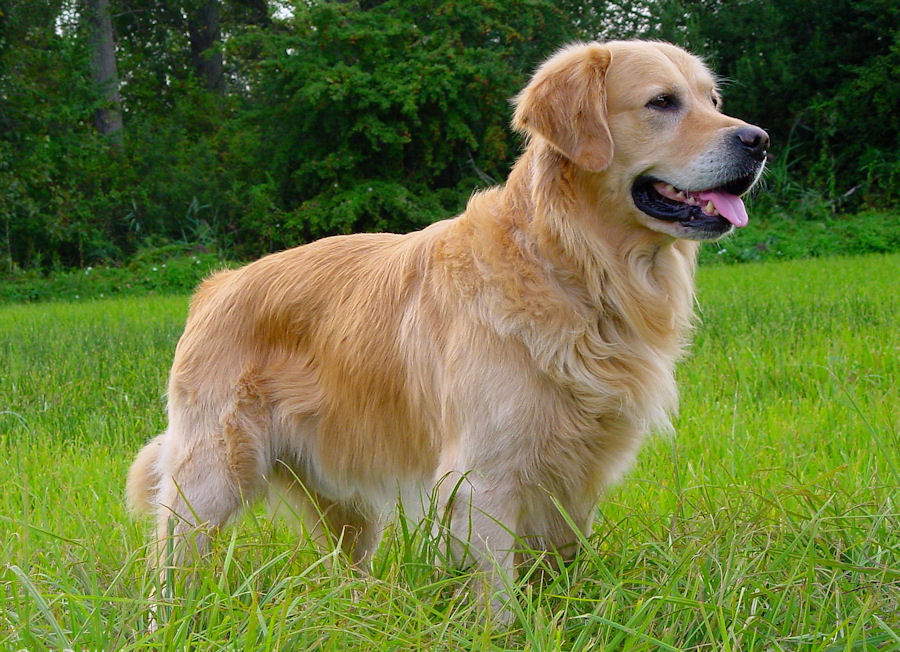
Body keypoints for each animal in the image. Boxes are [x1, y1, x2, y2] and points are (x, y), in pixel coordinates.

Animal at [126, 39, 768, 616]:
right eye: (662, 101)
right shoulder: (485, 480)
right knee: (168, 572)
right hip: (209, 479)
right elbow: (501, 598)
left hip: (344, 498)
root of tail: (216, 286)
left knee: (348, 567)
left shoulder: (575, 476)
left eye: (712, 99)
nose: (759, 140)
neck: (569, 267)